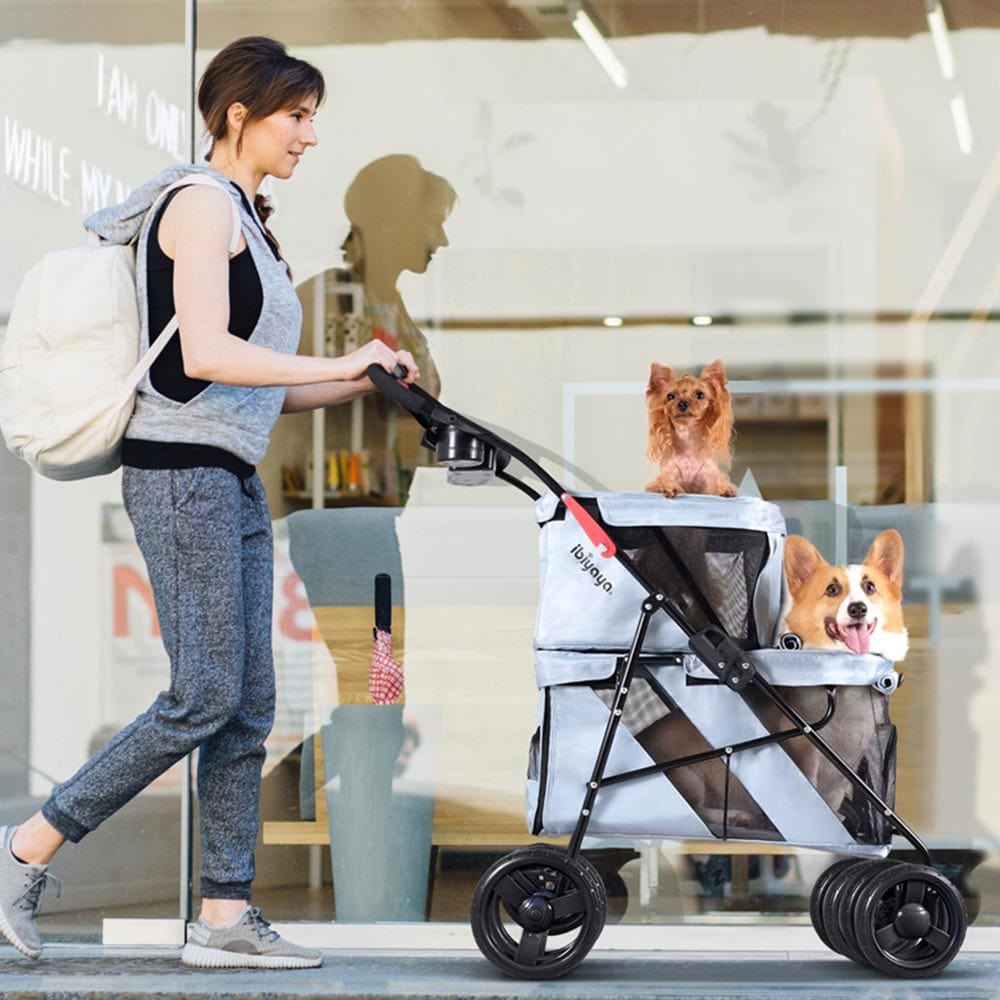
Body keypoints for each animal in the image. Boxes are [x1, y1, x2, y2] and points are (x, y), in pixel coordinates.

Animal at [648, 360, 736, 500]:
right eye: (670, 396)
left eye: (700, 395)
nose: (682, 403)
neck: (688, 438)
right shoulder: (669, 472)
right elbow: (664, 481)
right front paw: (668, 487)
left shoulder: (709, 474)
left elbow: (718, 481)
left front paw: (725, 489)